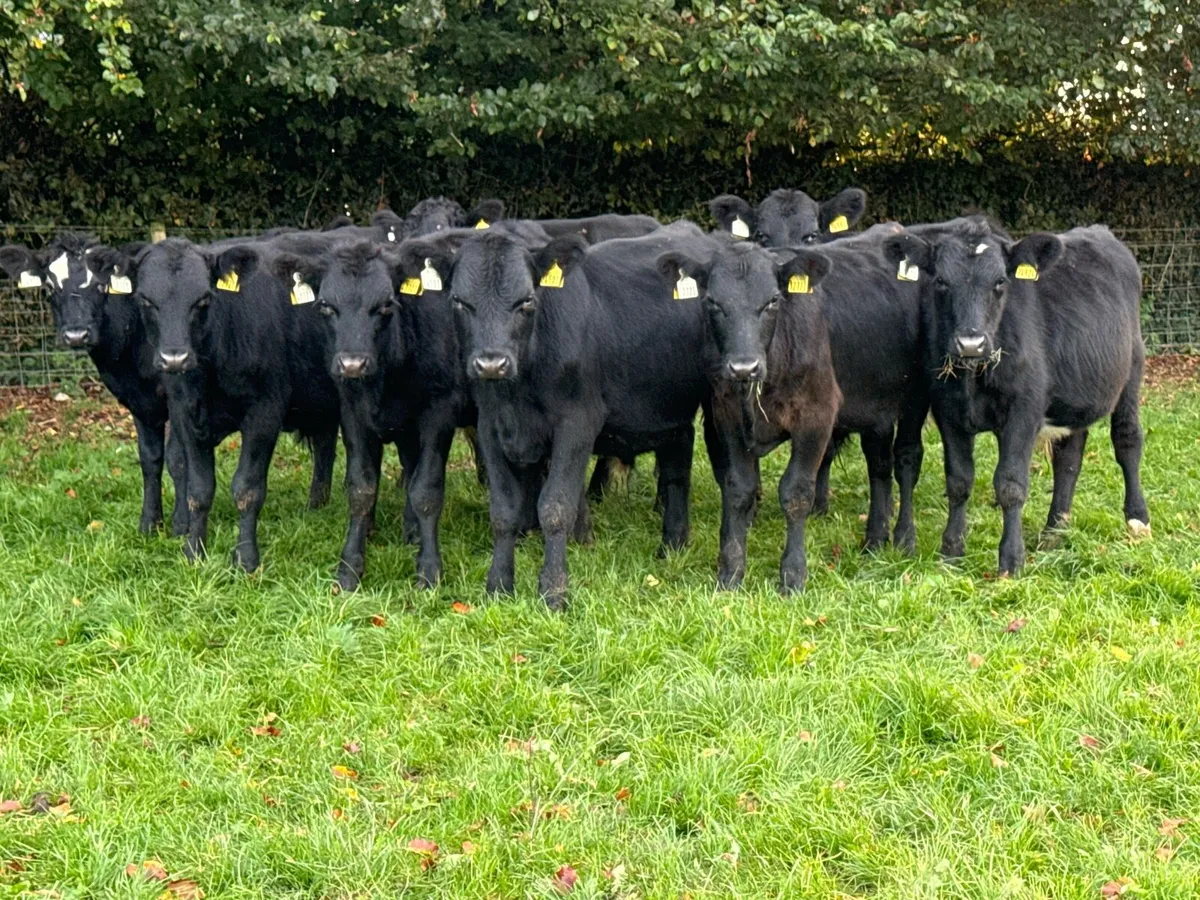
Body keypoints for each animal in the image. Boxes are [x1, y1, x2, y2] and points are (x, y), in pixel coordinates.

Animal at [0, 234, 187, 534]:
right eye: (49, 287)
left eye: (101, 285)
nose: (77, 334)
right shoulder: (139, 400)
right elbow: (150, 458)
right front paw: (149, 524)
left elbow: (179, 458)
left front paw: (182, 525)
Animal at [98, 237, 341, 571]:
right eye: (146, 300)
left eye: (203, 300)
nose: (174, 358)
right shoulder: (184, 413)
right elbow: (199, 489)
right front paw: (193, 552)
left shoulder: (265, 412)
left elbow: (247, 489)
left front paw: (246, 559)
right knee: (325, 443)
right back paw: (316, 505)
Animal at [409, 222, 718, 609]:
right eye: (459, 302)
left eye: (527, 300)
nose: (492, 364)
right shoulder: (491, 427)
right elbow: (504, 510)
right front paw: (498, 586)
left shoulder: (577, 424)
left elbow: (555, 507)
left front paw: (553, 593)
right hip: (670, 410)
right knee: (679, 460)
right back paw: (674, 545)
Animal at [654, 240, 841, 591]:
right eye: (712, 302)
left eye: (773, 301)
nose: (744, 367)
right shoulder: (726, 415)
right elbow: (738, 487)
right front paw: (731, 571)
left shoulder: (818, 414)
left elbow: (796, 491)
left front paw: (793, 574)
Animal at [881, 217, 1149, 573]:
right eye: (940, 282)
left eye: (999, 282)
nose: (970, 343)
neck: (974, 376)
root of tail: (1099, 231)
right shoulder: (947, 410)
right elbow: (959, 481)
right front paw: (952, 551)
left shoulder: (1024, 410)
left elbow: (1010, 484)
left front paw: (1011, 559)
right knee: (1068, 459)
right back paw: (1054, 531)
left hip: (1131, 371)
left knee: (1127, 441)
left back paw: (1137, 520)